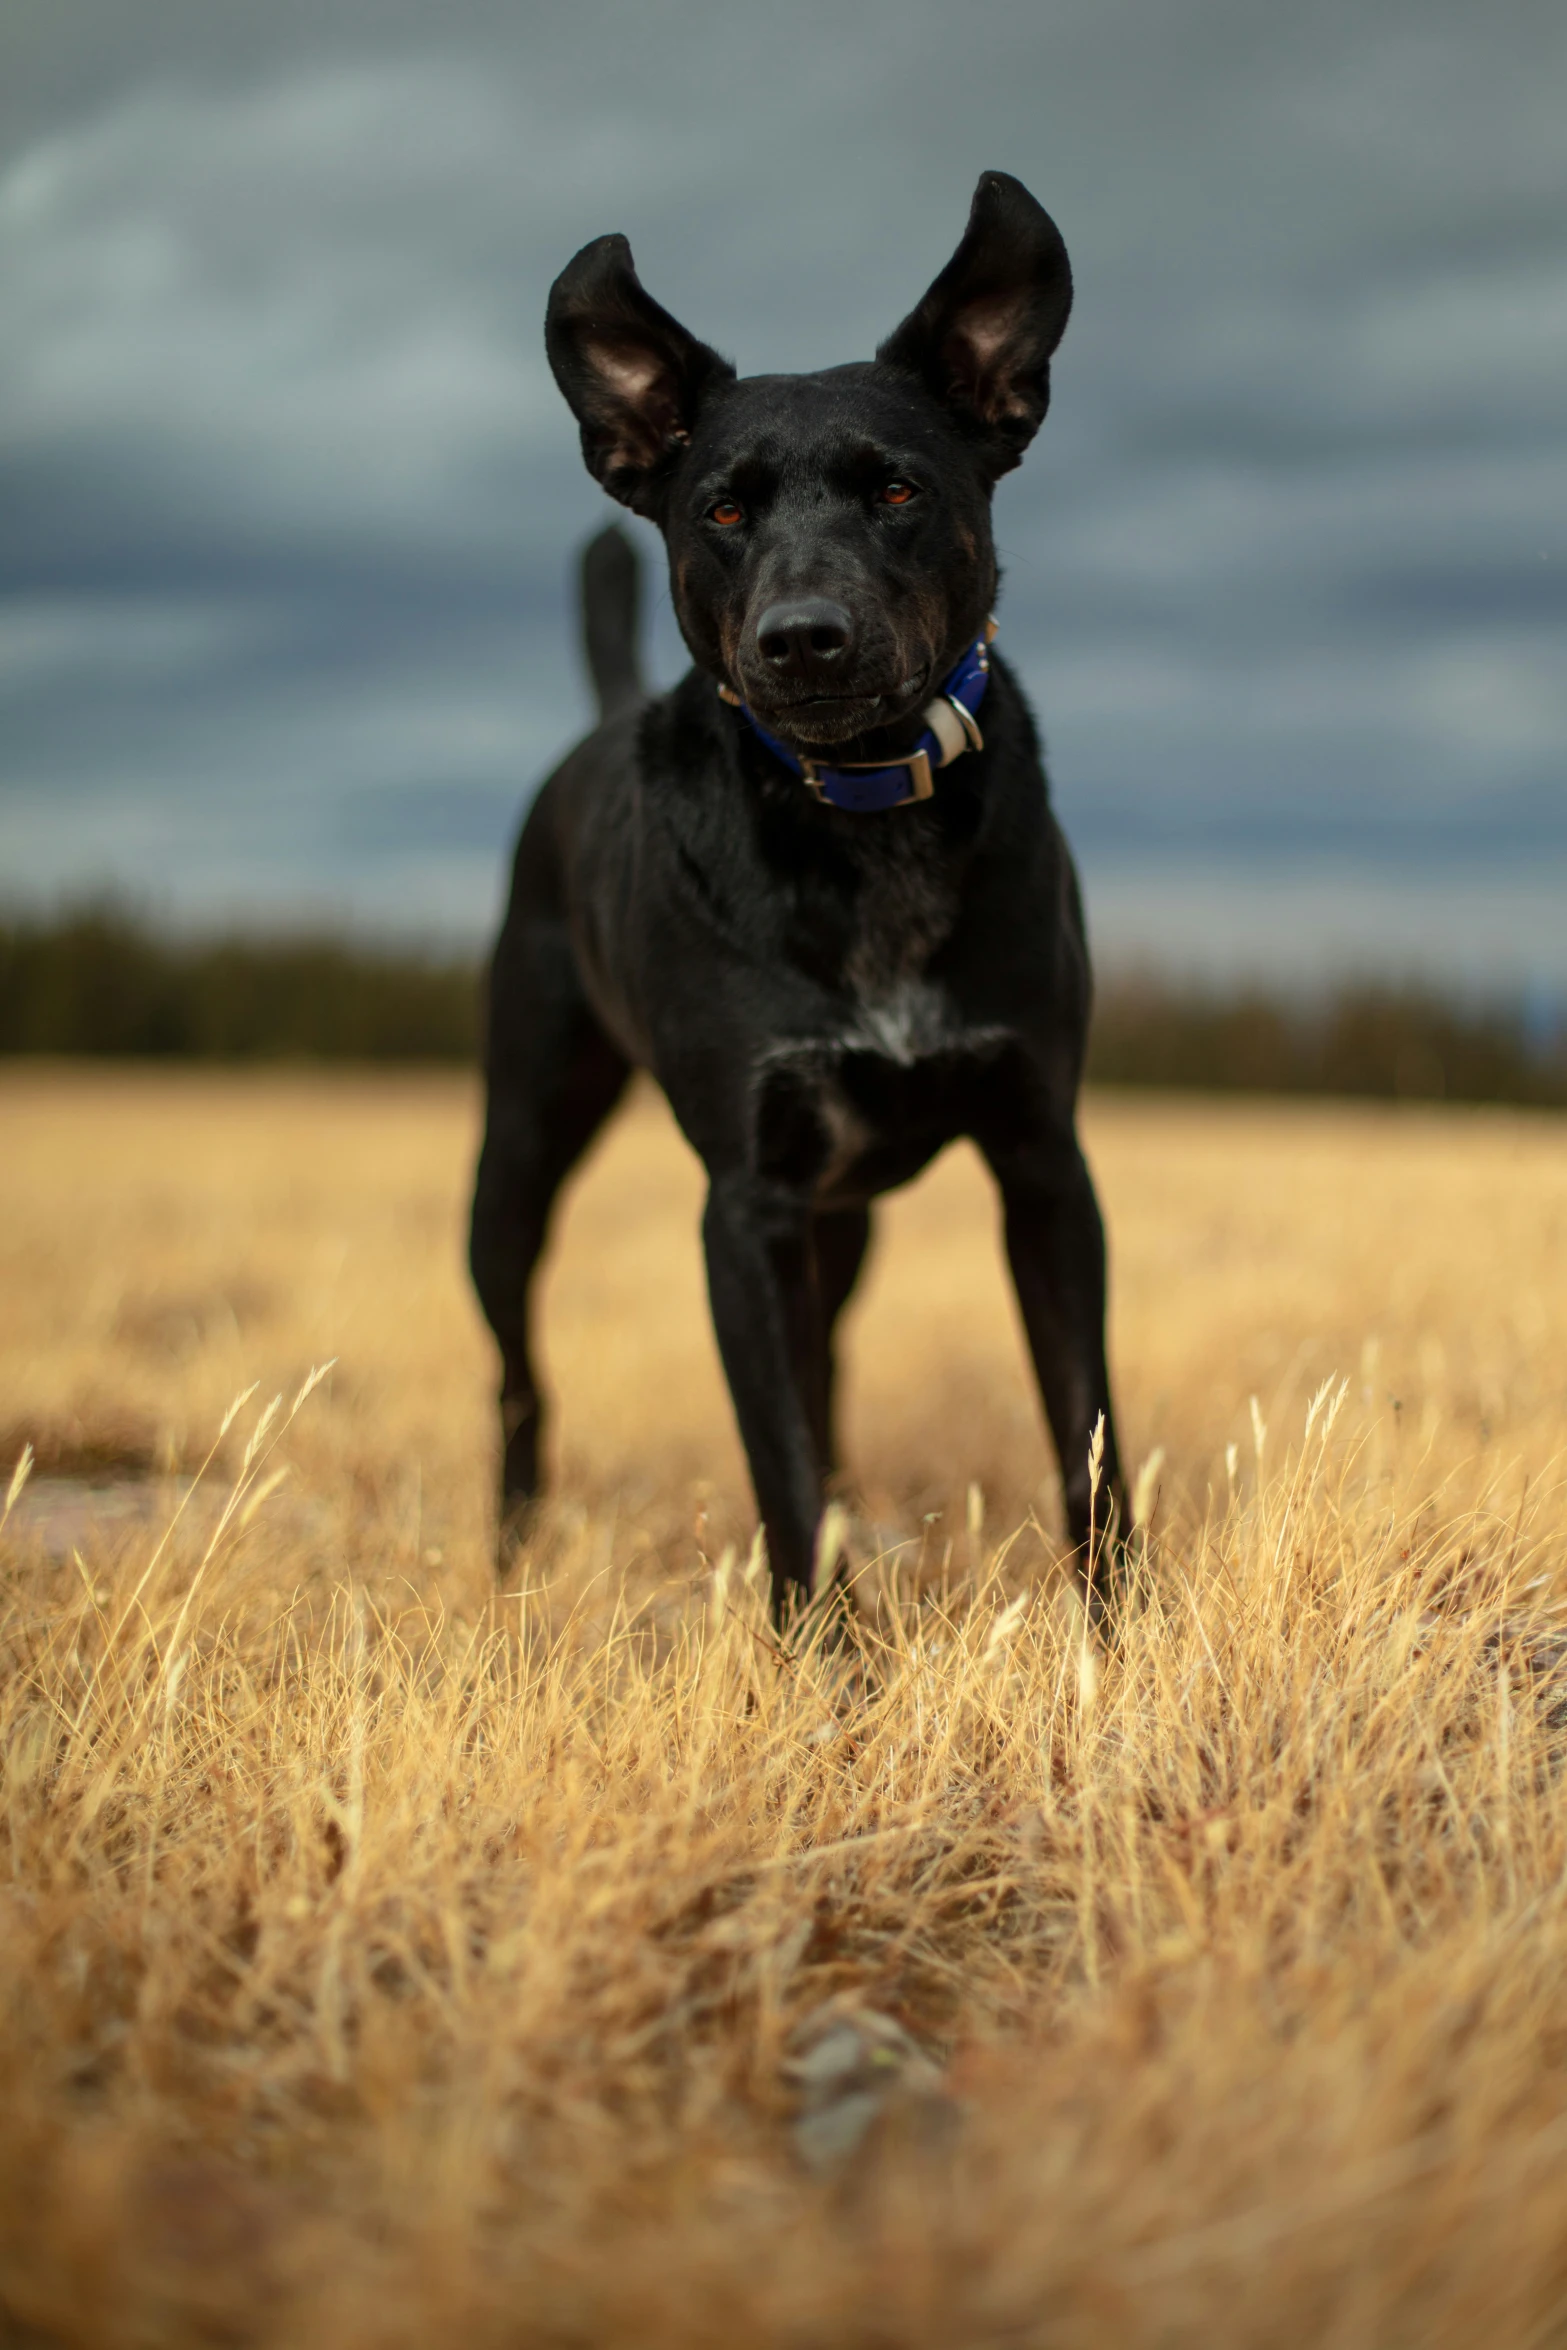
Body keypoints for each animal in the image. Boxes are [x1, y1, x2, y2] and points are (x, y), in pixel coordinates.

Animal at [472, 173, 1122, 1626]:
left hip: (849, 1216)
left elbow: (1085, 1429)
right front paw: (824, 1658)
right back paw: (511, 1552)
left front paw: (1125, 1630)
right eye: (720, 512)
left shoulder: (1041, 1160)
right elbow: (774, 1457)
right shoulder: (748, 1201)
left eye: (896, 488)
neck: (861, 810)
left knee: (829, 1368)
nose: (802, 638)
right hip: (520, 1145)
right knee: (519, 1373)